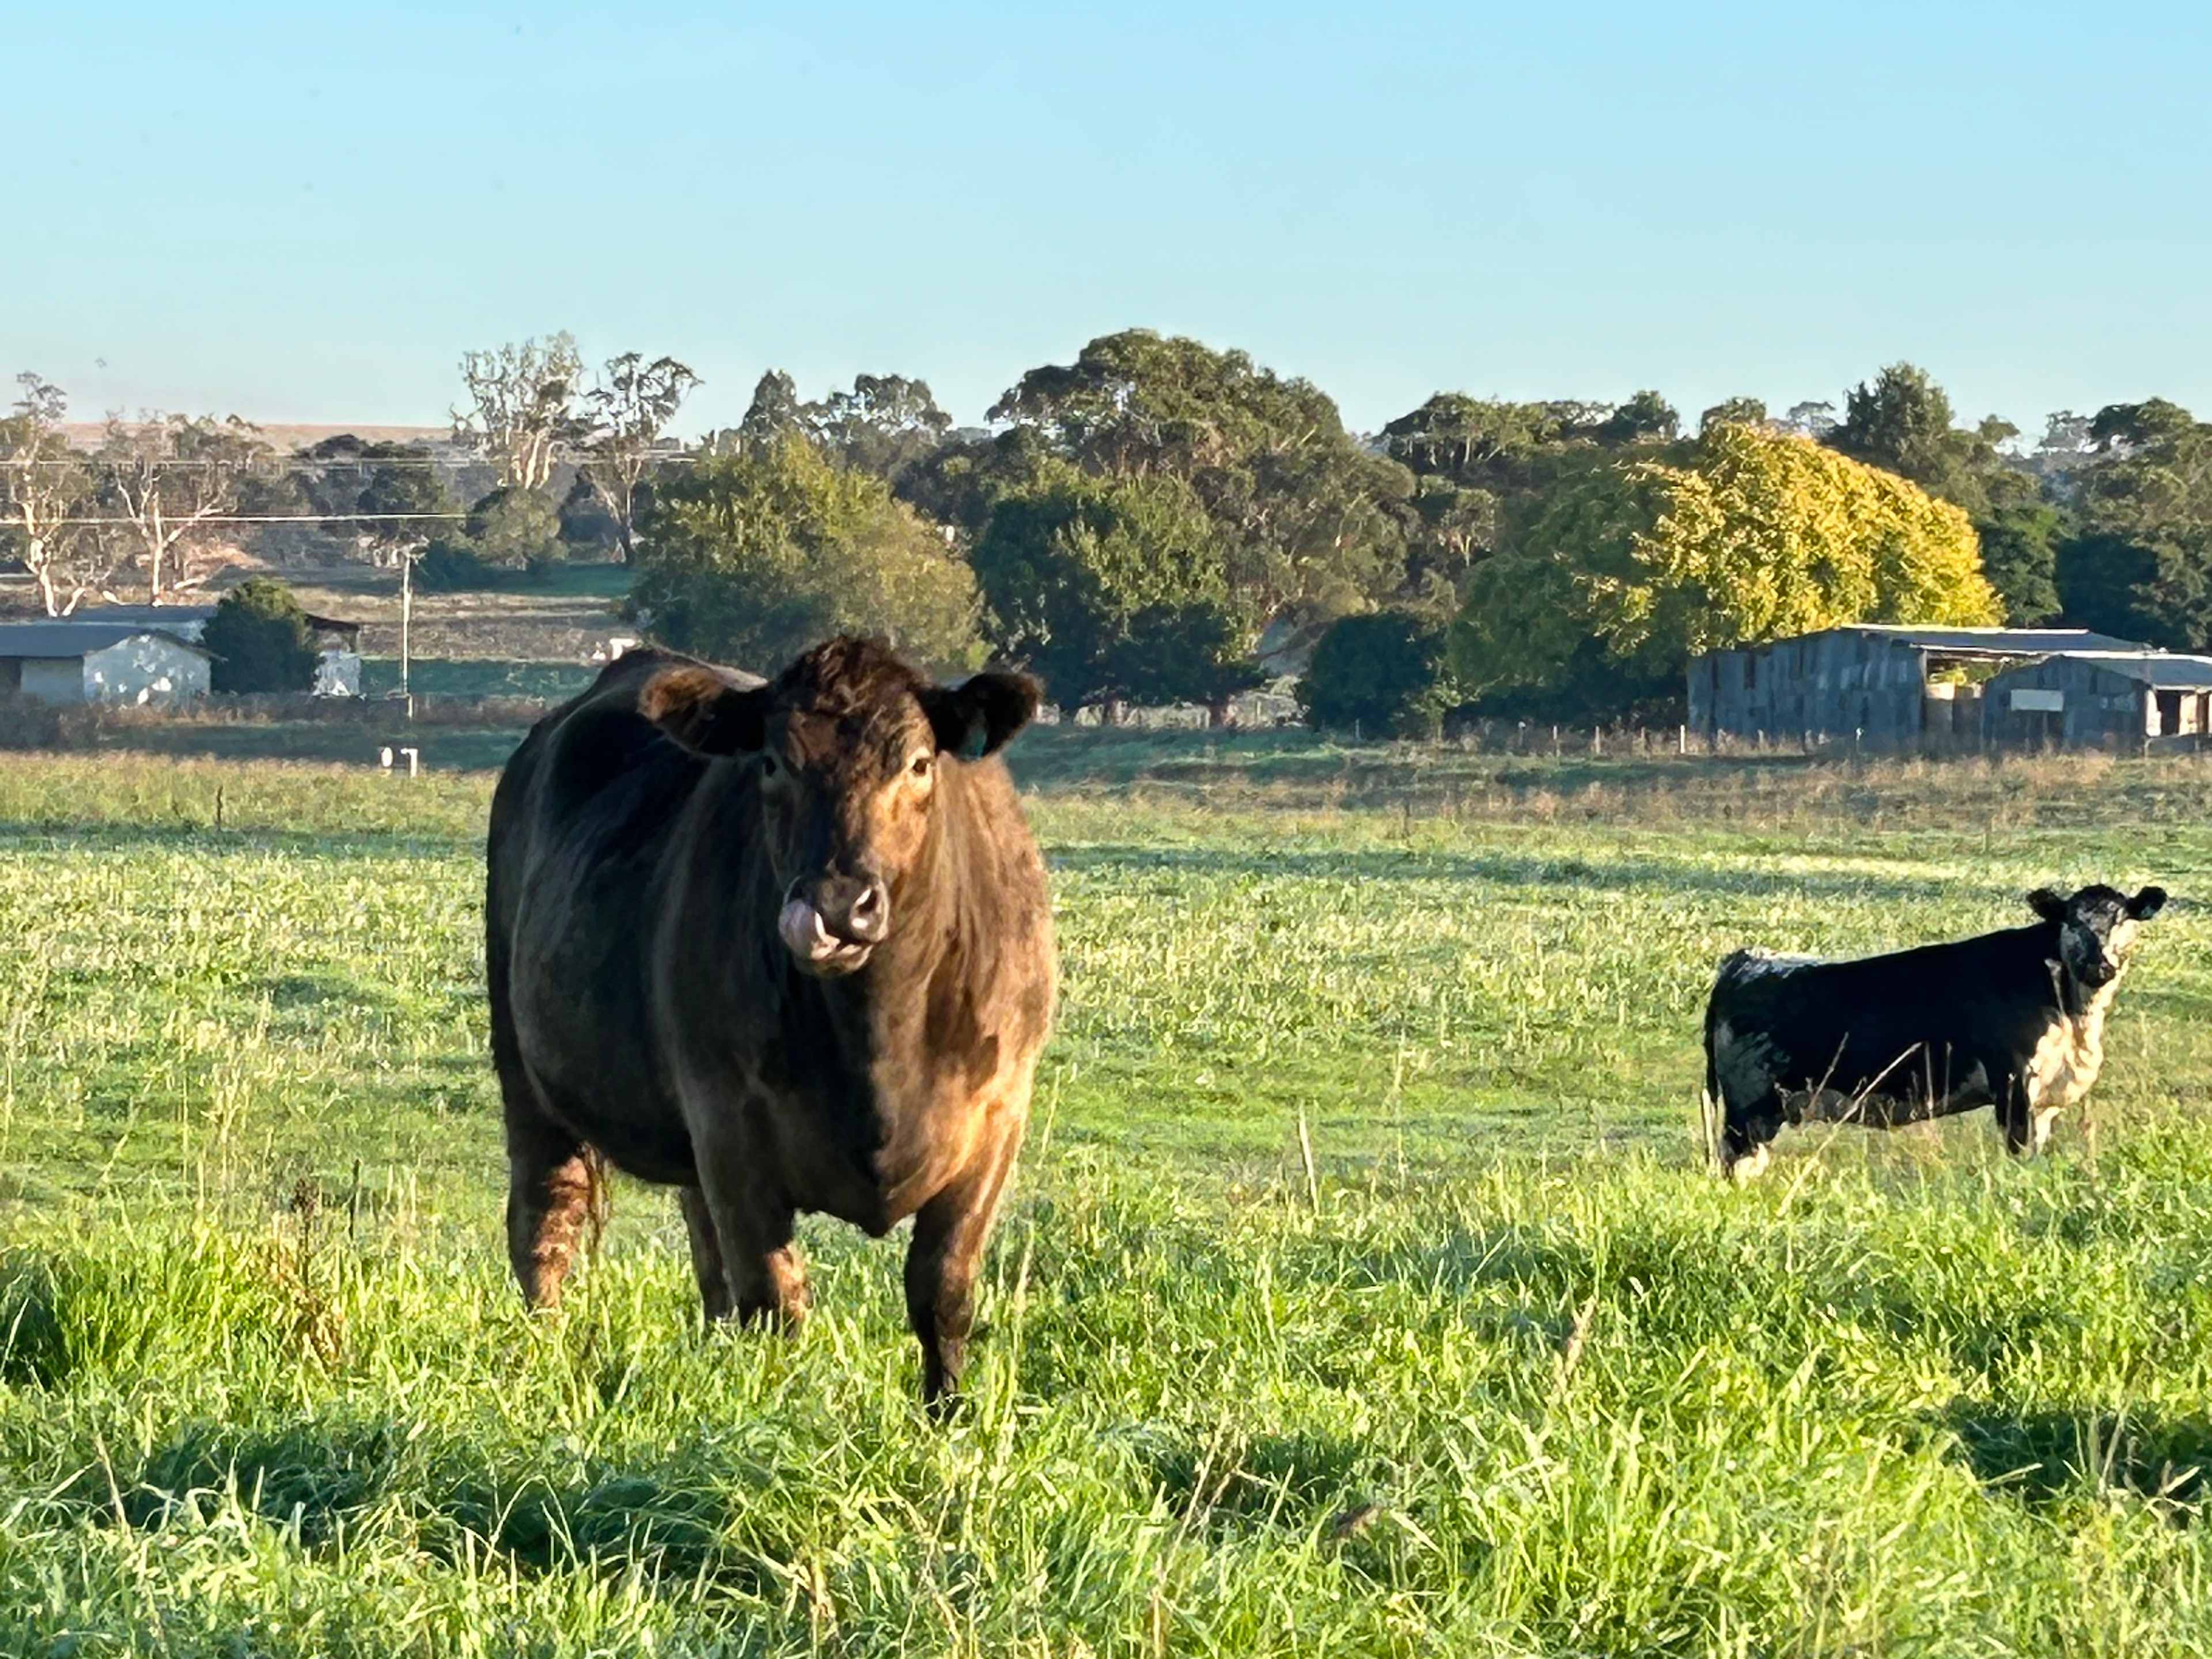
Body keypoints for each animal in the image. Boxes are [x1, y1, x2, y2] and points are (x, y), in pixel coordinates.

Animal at [485, 636, 1055, 1404]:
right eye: (773, 763)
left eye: (918, 763)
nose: (840, 905)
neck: (879, 1039)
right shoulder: (730, 1126)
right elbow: (776, 1301)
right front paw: (777, 1413)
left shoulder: (997, 1119)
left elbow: (942, 1293)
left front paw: (949, 1414)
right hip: (526, 1068)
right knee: (546, 1219)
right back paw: (543, 1360)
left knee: (702, 1247)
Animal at [1705, 883, 2168, 1180]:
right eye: (2072, 921)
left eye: (2123, 918)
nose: (2099, 964)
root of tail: (1746, 960)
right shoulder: (2015, 1084)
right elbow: (2021, 1154)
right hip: (1749, 1111)